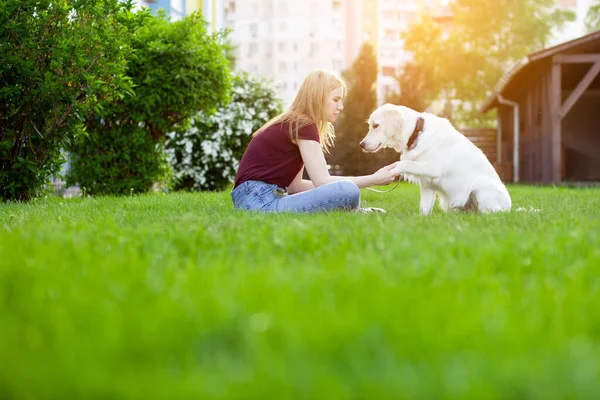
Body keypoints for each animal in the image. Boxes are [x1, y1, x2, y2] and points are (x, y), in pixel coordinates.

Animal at [360, 104, 510, 214]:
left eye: (376, 125)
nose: (361, 144)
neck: (417, 133)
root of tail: (509, 208)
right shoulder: (427, 184)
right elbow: (424, 208)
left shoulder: (433, 168)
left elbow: (404, 163)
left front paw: (393, 169)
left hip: (480, 186)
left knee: (492, 212)